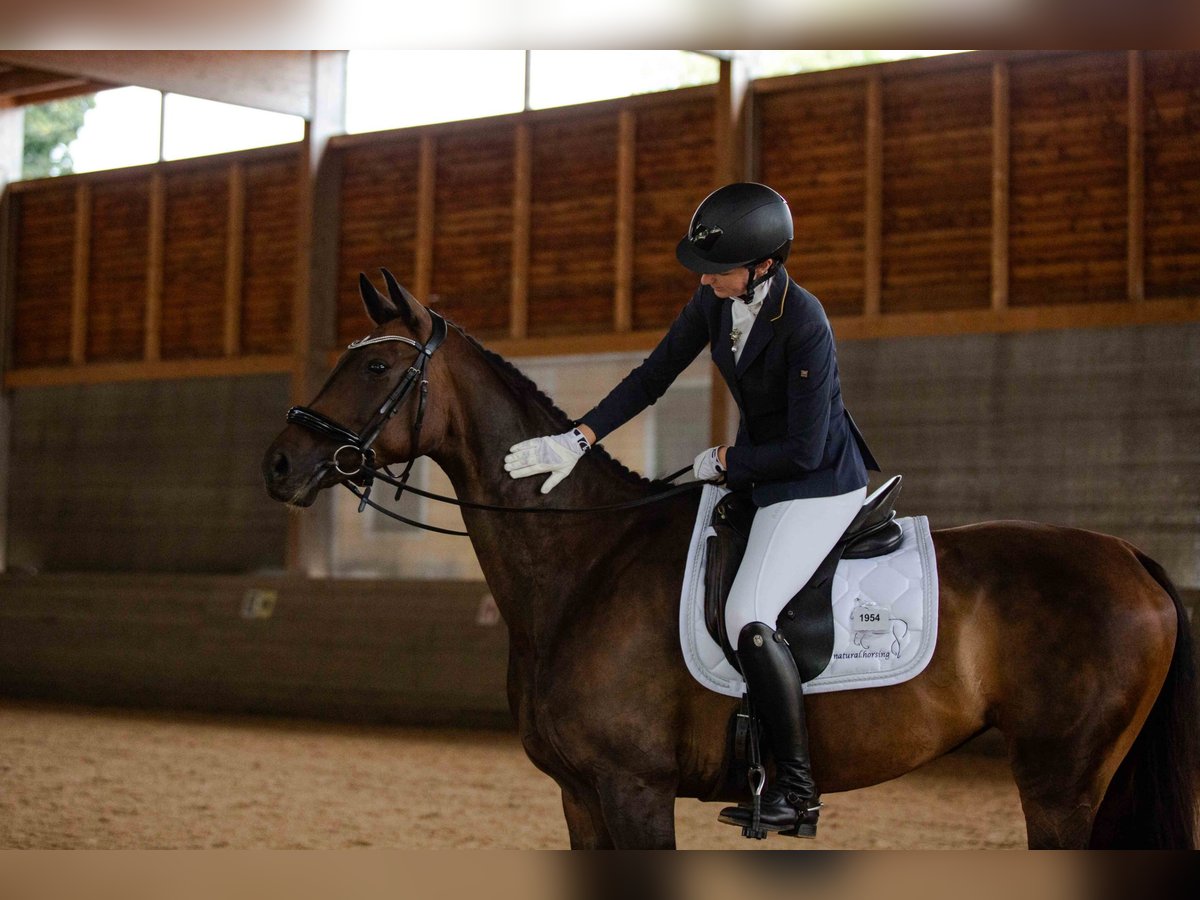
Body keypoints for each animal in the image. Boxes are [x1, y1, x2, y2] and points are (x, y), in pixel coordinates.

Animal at [265, 274, 1200, 854]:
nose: (279, 464)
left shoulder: (633, 788)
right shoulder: (580, 795)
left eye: (375, 364)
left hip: (1060, 783)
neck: (582, 561)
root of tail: (1130, 557)